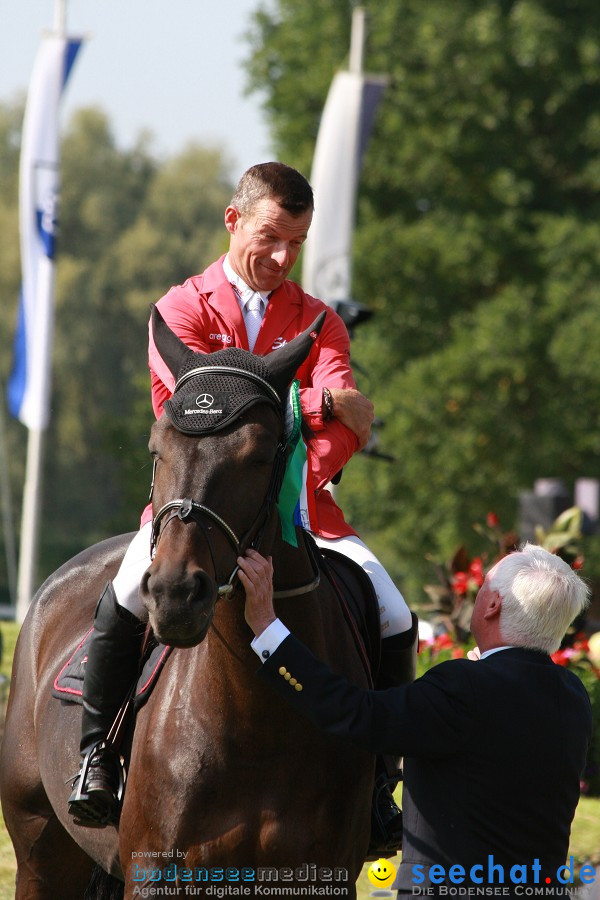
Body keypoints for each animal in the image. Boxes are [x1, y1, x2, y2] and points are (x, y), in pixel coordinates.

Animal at [0, 308, 372, 892]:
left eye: (260, 455)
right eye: (157, 449)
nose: (174, 593)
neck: (257, 721)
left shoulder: (323, 876)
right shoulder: (158, 872)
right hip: (40, 851)